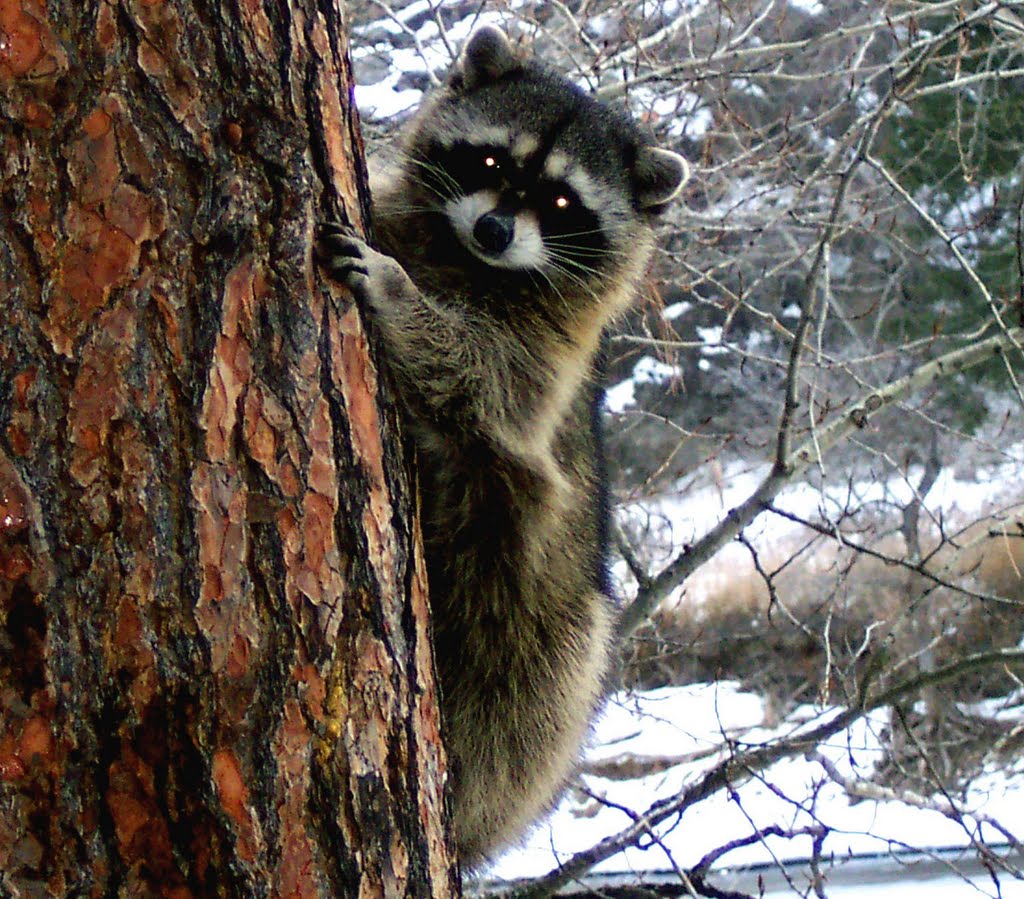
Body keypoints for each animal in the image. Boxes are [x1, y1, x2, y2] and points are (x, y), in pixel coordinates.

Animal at [319, 24, 688, 868]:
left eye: (560, 201)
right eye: (490, 165)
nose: (493, 229)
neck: (469, 260)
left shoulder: (548, 364)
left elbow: (479, 380)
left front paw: (399, 294)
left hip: (545, 641)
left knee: (525, 715)